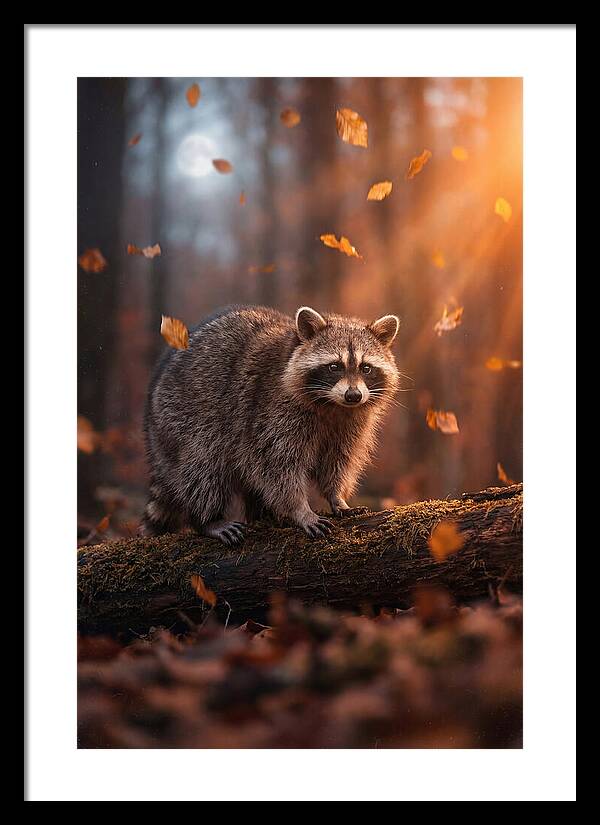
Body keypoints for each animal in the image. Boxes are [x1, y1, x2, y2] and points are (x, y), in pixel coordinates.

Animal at [141, 305, 400, 545]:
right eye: (334, 366)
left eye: (366, 368)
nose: (353, 395)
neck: (333, 405)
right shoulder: (270, 411)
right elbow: (277, 466)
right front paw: (300, 509)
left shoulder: (350, 424)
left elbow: (338, 461)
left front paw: (337, 496)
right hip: (183, 419)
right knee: (203, 467)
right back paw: (208, 519)